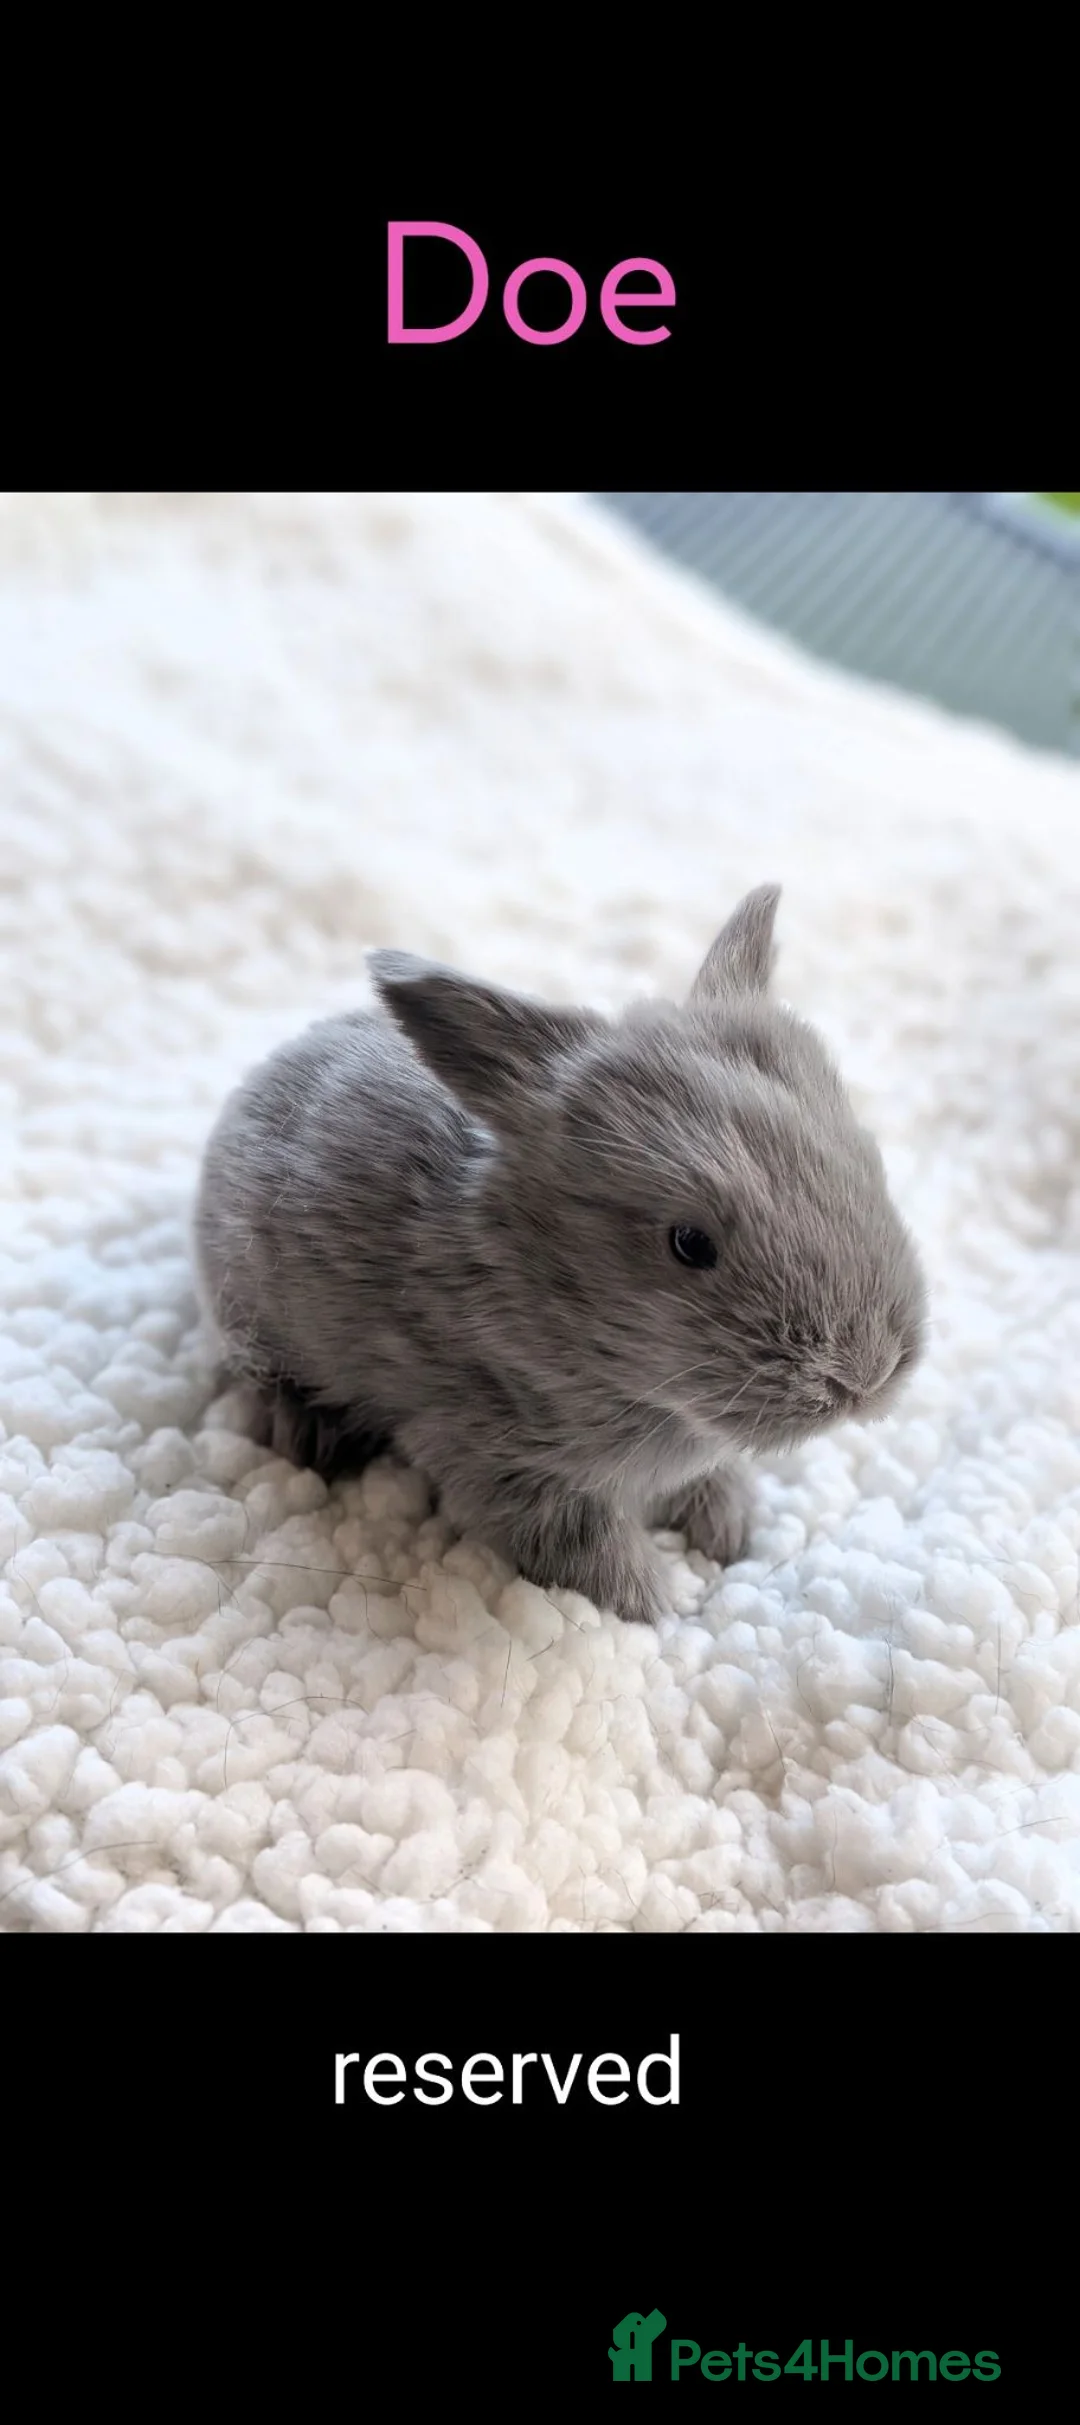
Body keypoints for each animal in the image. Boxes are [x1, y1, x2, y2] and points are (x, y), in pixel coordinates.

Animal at [193, 886, 927, 1628]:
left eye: (866, 1166)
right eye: (689, 1244)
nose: (864, 1378)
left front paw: (731, 1534)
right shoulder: (507, 1467)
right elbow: (594, 1550)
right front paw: (666, 1606)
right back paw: (308, 1434)